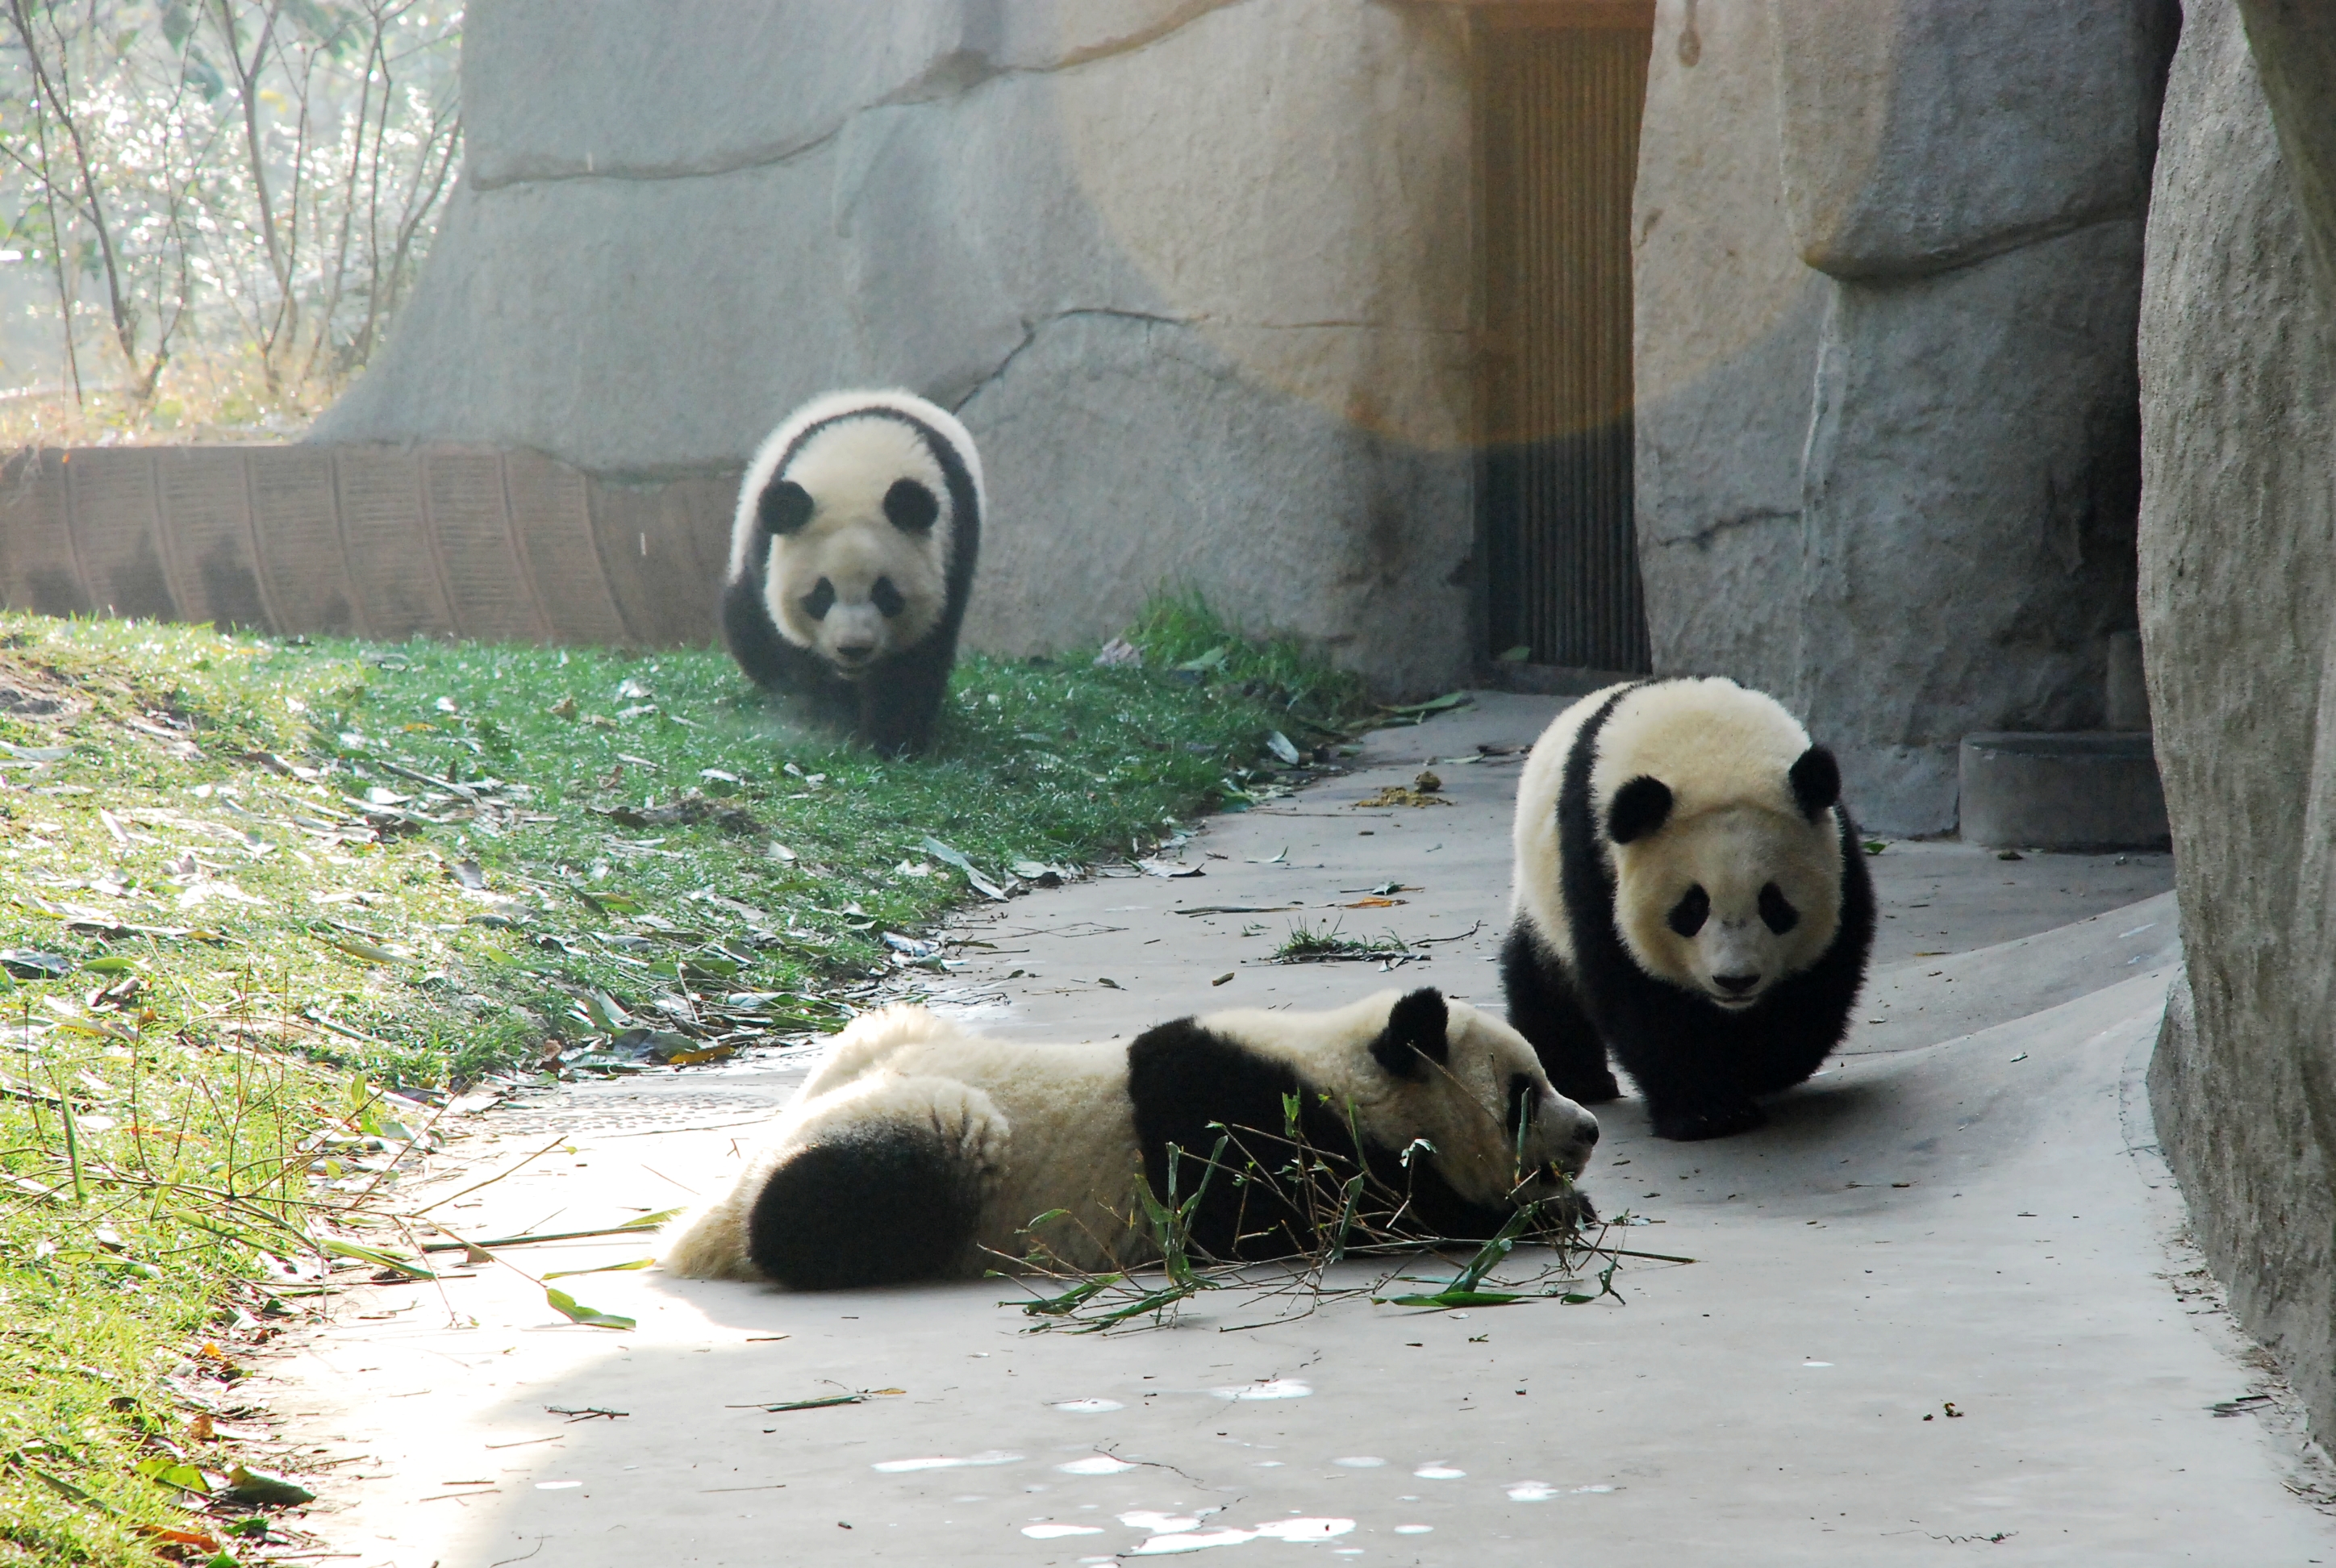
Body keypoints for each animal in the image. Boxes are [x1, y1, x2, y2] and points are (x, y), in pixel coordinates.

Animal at [661, 987, 1599, 1290]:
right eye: (1524, 1093)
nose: (1588, 1130)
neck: (1338, 1066)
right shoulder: (1243, 1124)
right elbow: (1319, 1211)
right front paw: (1536, 1213)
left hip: (879, 1041)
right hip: (930, 1139)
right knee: (834, 1195)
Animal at [720, 390, 982, 756]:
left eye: (886, 594)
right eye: (821, 594)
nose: (853, 649)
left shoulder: (953, 548)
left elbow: (917, 657)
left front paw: (892, 739)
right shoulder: (767, 550)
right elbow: (800, 654)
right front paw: (837, 720)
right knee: (747, 629)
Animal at [1500, 677, 1876, 1143]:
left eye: (1774, 904)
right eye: (1692, 907)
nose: (1736, 981)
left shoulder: (1837, 851)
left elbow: (1821, 977)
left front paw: (1759, 1065)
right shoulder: (1594, 860)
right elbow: (1638, 993)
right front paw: (1709, 1111)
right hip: (1541, 896)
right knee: (1541, 981)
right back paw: (1578, 1080)